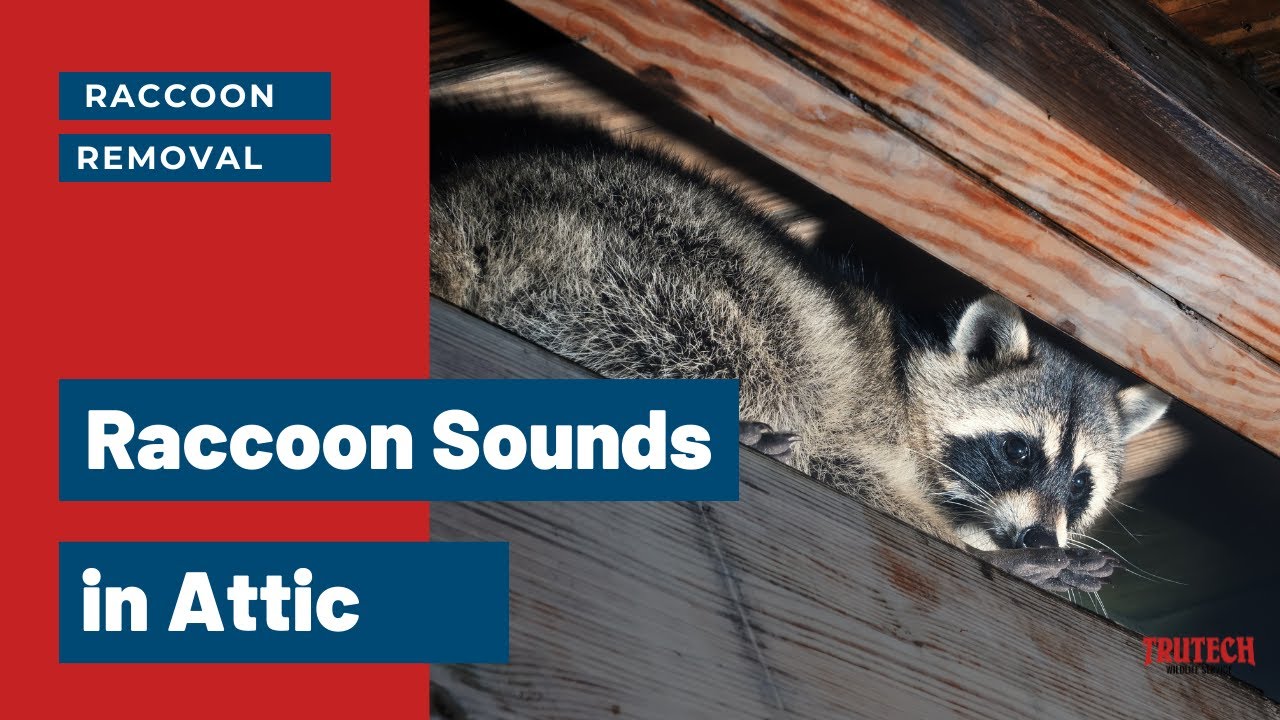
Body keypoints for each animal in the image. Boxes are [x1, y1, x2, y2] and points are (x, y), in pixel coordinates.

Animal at [429, 106, 1170, 593]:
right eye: (1018, 451)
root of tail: (471, 203)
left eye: (1082, 483)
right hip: (630, 259)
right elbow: (842, 465)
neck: (910, 381)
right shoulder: (863, 421)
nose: (1041, 537)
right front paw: (974, 546)